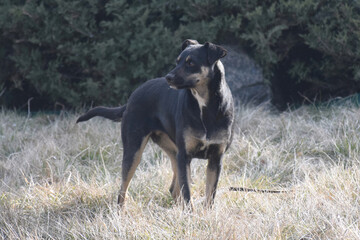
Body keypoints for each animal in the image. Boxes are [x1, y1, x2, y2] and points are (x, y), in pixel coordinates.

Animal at [77, 39, 235, 208]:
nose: (168, 77)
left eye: (191, 62)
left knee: (173, 189)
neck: (204, 106)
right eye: (177, 61)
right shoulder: (185, 156)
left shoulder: (215, 159)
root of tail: (132, 97)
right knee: (122, 191)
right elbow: (187, 194)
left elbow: (209, 195)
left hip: (172, 151)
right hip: (134, 151)